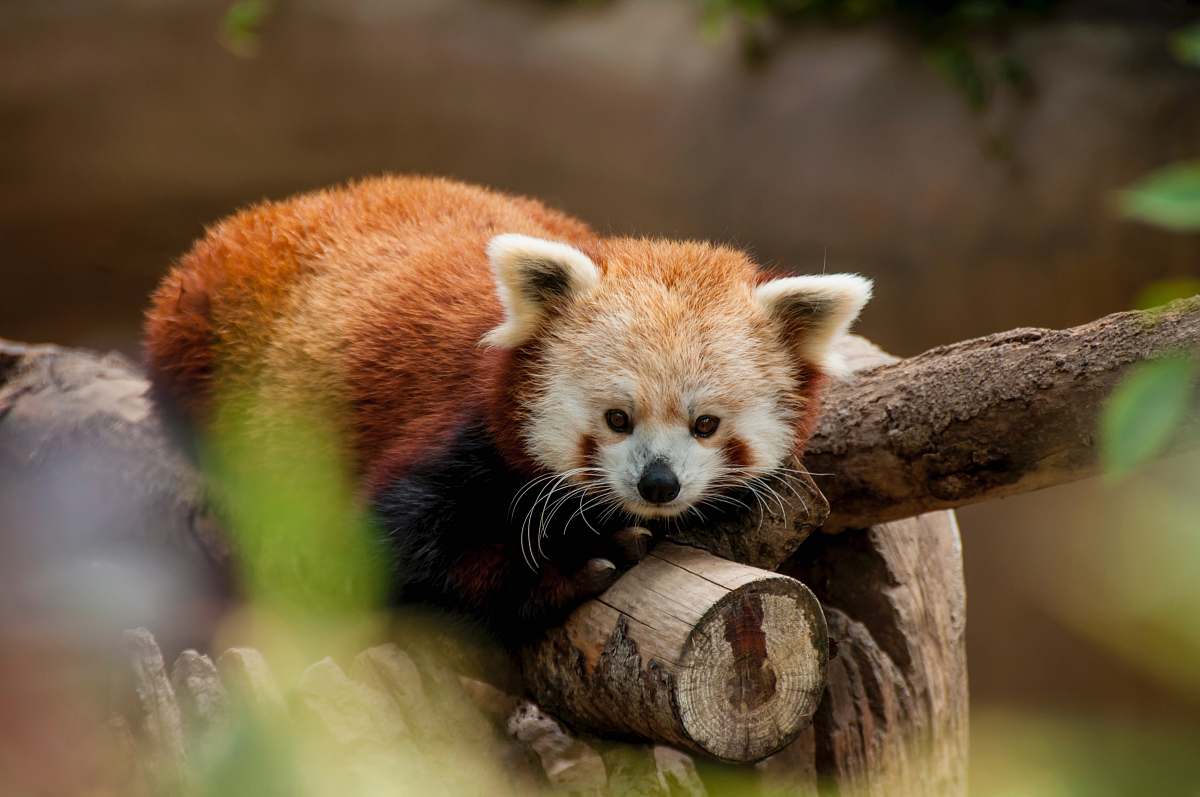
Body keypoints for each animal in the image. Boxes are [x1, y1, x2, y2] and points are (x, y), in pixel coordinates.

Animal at [145, 174, 873, 633]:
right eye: (616, 418)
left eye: (706, 424)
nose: (657, 484)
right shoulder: (456, 433)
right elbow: (393, 553)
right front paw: (570, 571)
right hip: (207, 337)